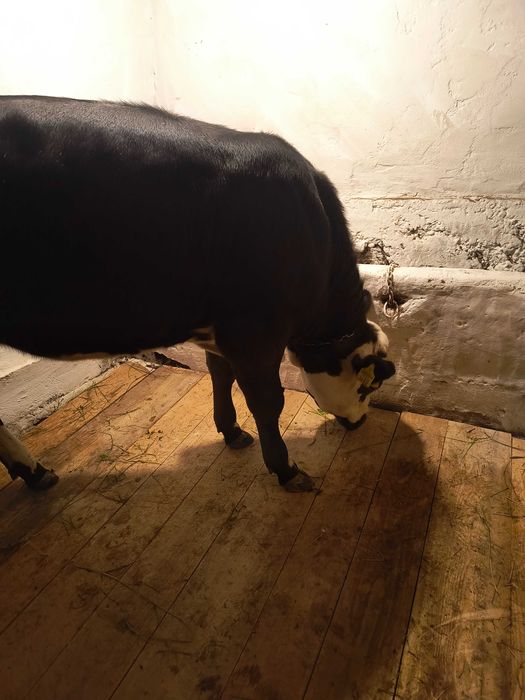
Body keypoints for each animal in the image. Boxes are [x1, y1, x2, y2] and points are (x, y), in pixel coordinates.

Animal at [0, 96, 395, 493]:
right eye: (369, 387)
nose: (360, 422)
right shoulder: (254, 331)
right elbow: (268, 402)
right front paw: (287, 469)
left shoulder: (218, 332)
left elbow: (220, 375)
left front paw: (231, 430)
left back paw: (36, 473)